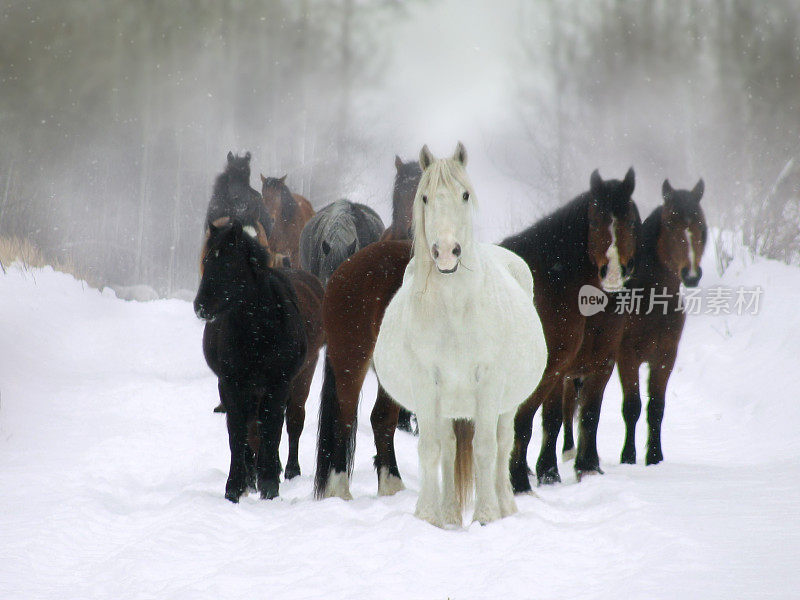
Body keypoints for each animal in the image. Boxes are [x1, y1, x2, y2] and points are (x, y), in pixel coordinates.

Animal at [194, 219, 306, 502]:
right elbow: (237, 432)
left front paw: (269, 486)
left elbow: (271, 430)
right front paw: (235, 487)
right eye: (207, 260)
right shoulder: (231, 384)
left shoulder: (278, 385)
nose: (200, 306)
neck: (257, 331)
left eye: (228, 263)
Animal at [372, 143, 548, 528]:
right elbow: (432, 448)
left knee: (502, 443)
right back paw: (450, 513)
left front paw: (487, 515)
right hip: (447, 404)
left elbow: (485, 448)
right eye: (424, 197)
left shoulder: (489, 382)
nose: (446, 252)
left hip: (505, 404)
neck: (456, 310)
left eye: (464, 195)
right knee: (449, 447)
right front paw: (428, 516)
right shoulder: (427, 382)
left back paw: (505, 505)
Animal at [500, 166, 644, 490]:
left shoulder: (598, 364)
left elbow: (587, 416)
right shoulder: (550, 370)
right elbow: (534, 422)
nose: (613, 273)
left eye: (630, 220)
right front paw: (528, 480)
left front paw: (584, 468)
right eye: (595, 220)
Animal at [608, 180, 708, 466]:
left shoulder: (665, 356)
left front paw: (654, 456)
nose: (691, 275)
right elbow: (632, 406)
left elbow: (656, 407)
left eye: (700, 225)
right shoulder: (626, 356)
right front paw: (628, 457)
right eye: (671, 224)